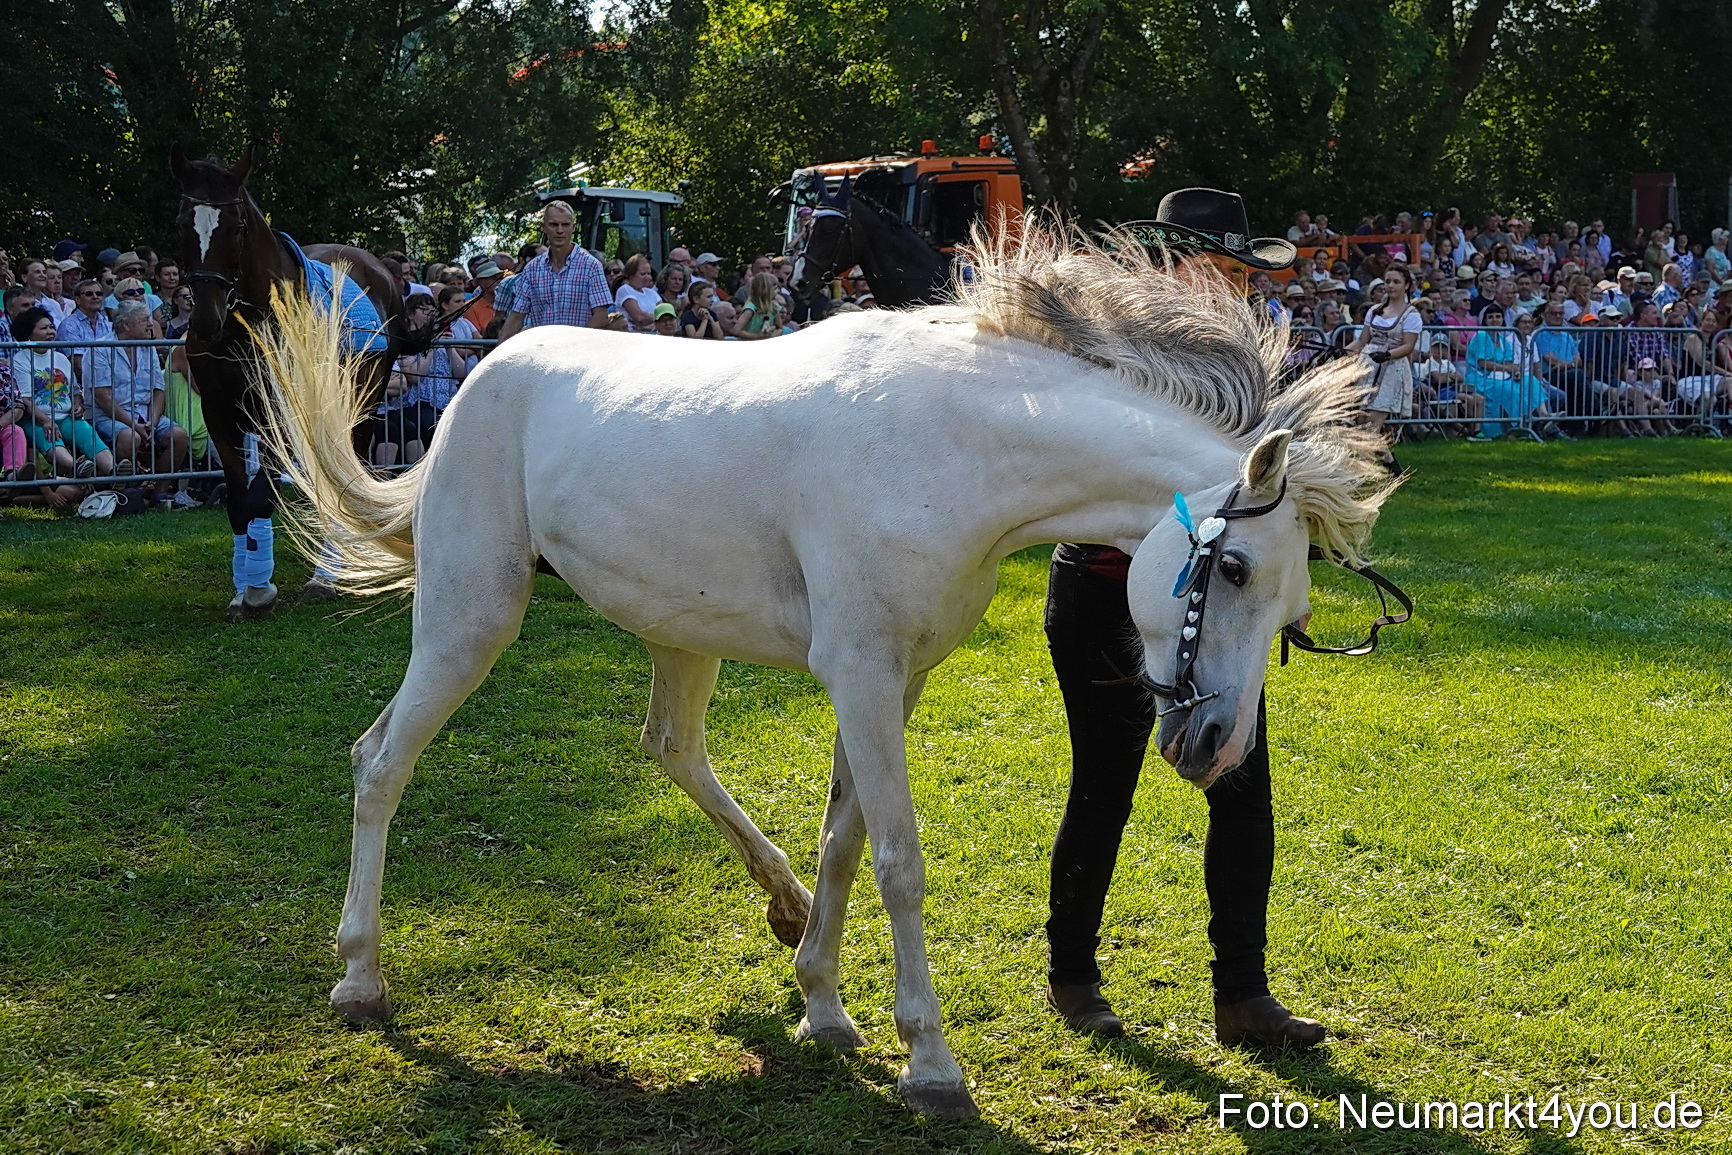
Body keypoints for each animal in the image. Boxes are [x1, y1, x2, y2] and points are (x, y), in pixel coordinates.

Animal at [170, 143, 428, 617]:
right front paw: (243, 587)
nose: (206, 319)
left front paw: (259, 591)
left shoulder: (284, 415)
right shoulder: (219, 412)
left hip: (361, 401)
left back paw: (327, 574)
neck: (246, 325)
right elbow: (239, 502)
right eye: (182, 224)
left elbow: (259, 496)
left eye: (236, 228)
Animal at [251, 219, 1395, 1118]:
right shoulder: (862, 675)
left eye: (1294, 613)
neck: (950, 449)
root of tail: (480, 377)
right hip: (469, 615)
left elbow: (844, 839)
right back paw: (361, 981)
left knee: (670, 747)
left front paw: (826, 1010)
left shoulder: (896, 678)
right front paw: (930, 1062)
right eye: (1232, 567)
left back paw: (782, 903)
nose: (1216, 746)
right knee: (379, 761)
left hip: (679, 633)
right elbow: (898, 857)